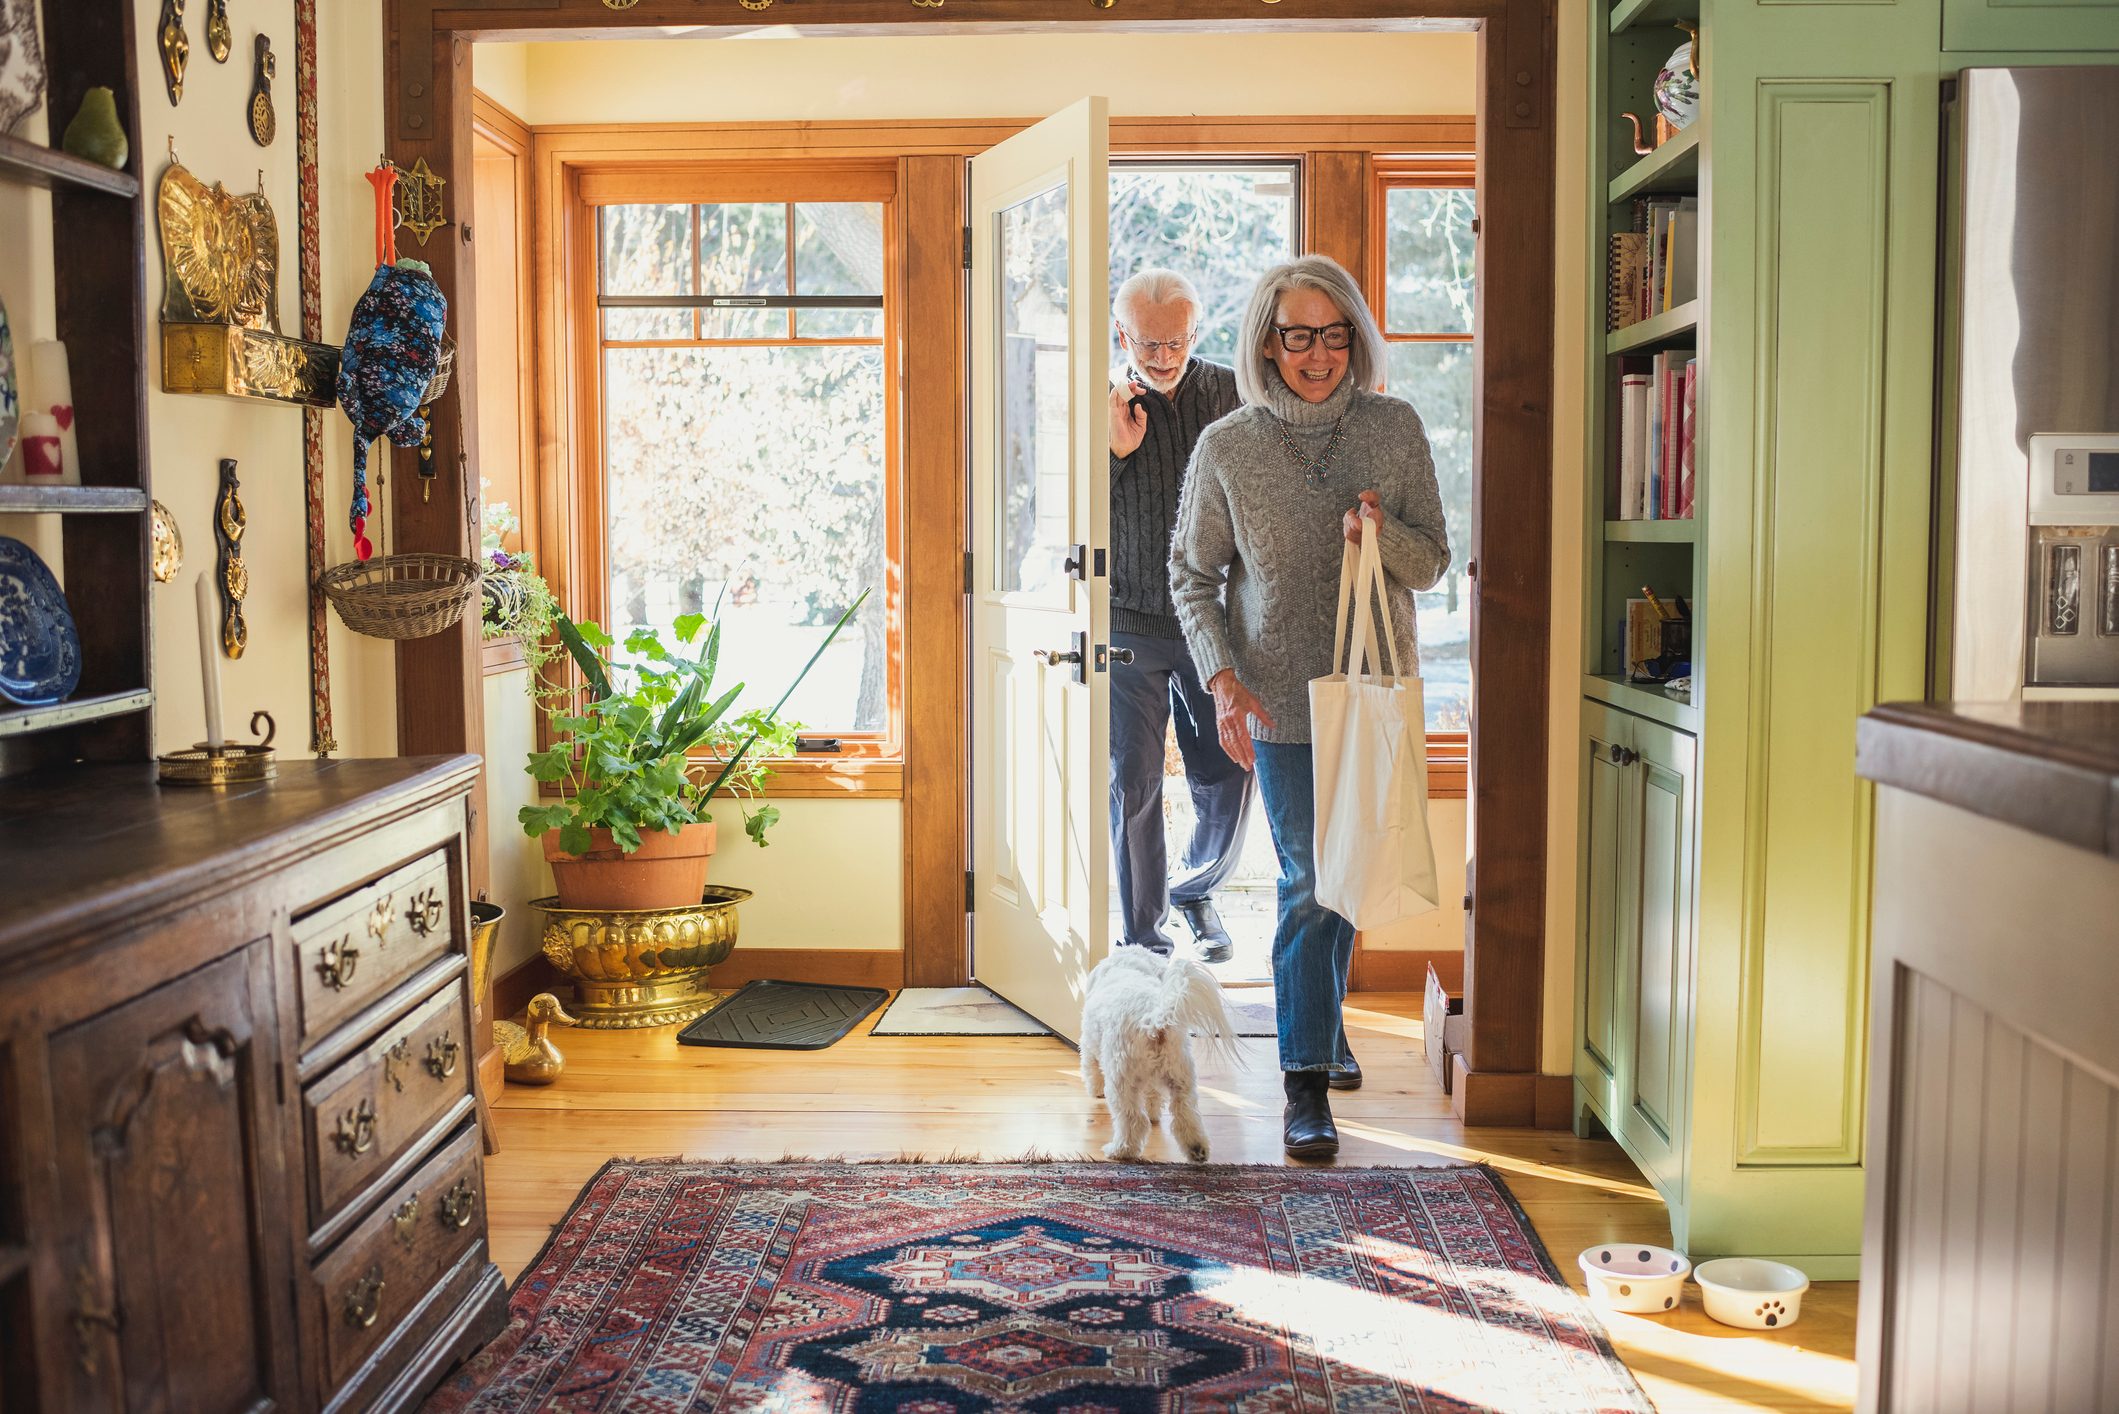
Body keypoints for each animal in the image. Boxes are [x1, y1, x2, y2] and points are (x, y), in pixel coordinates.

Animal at [1076, 949, 1237, 1161]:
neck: (1128, 966)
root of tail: (1154, 1023)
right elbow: (1153, 1097)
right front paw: (1153, 1112)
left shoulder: (1089, 1045)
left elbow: (1092, 1070)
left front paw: (1096, 1090)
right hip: (1182, 1077)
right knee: (1186, 1113)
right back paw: (1197, 1149)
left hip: (1121, 1080)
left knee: (1133, 1119)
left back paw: (1120, 1150)